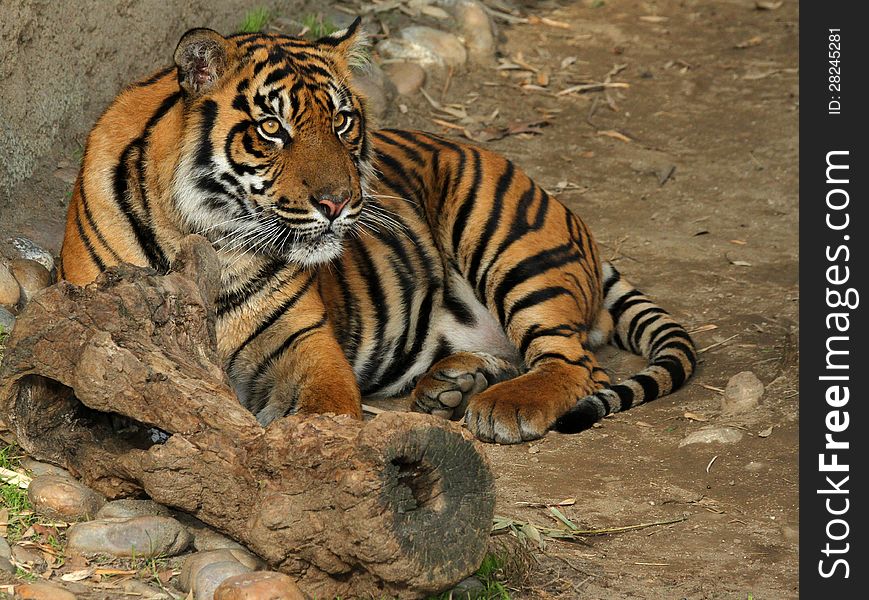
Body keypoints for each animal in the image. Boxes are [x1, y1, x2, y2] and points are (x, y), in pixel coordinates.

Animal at [57, 18, 696, 442]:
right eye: (272, 128)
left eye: (341, 121)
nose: (339, 202)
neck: (209, 238)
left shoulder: (306, 343)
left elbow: (322, 410)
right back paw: (452, 385)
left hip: (503, 235)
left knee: (576, 363)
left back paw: (501, 408)